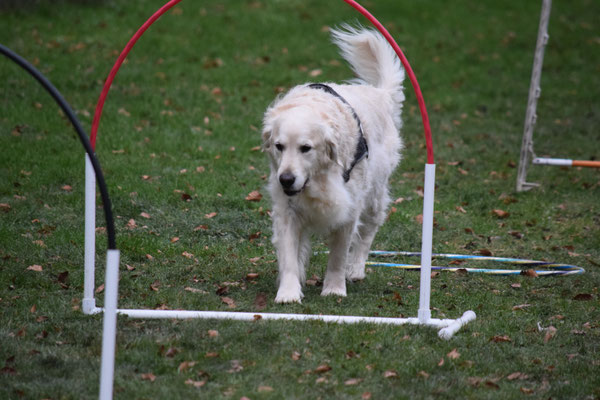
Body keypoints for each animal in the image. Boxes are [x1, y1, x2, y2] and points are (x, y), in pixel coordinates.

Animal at [262, 25, 406, 304]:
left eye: (306, 148)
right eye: (279, 146)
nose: (286, 179)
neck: (318, 180)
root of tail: (379, 94)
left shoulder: (348, 209)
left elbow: (338, 256)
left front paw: (335, 288)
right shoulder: (287, 210)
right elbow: (289, 256)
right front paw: (288, 292)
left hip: (374, 195)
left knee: (368, 232)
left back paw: (356, 268)